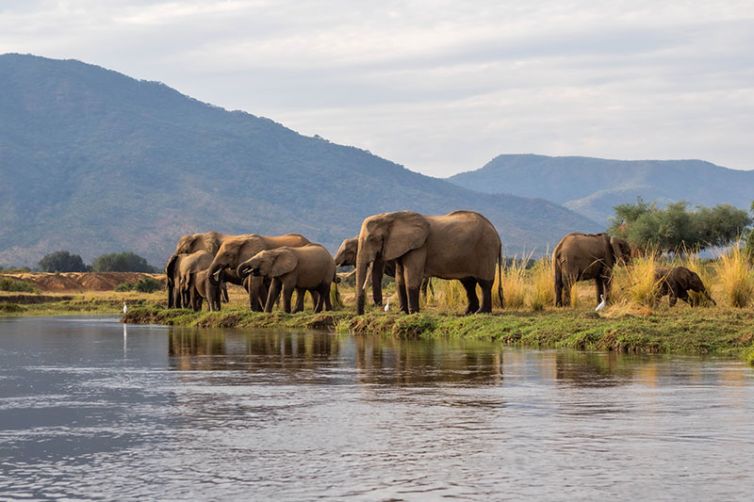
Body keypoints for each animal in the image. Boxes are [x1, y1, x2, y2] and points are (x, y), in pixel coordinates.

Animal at [354, 210, 503, 315]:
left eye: (372, 239)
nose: (362, 314)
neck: (391, 216)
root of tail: (496, 232)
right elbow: (400, 279)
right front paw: (402, 312)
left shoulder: (419, 247)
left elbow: (411, 277)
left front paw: (413, 313)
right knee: (468, 283)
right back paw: (468, 312)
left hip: (486, 249)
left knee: (484, 283)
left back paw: (482, 312)